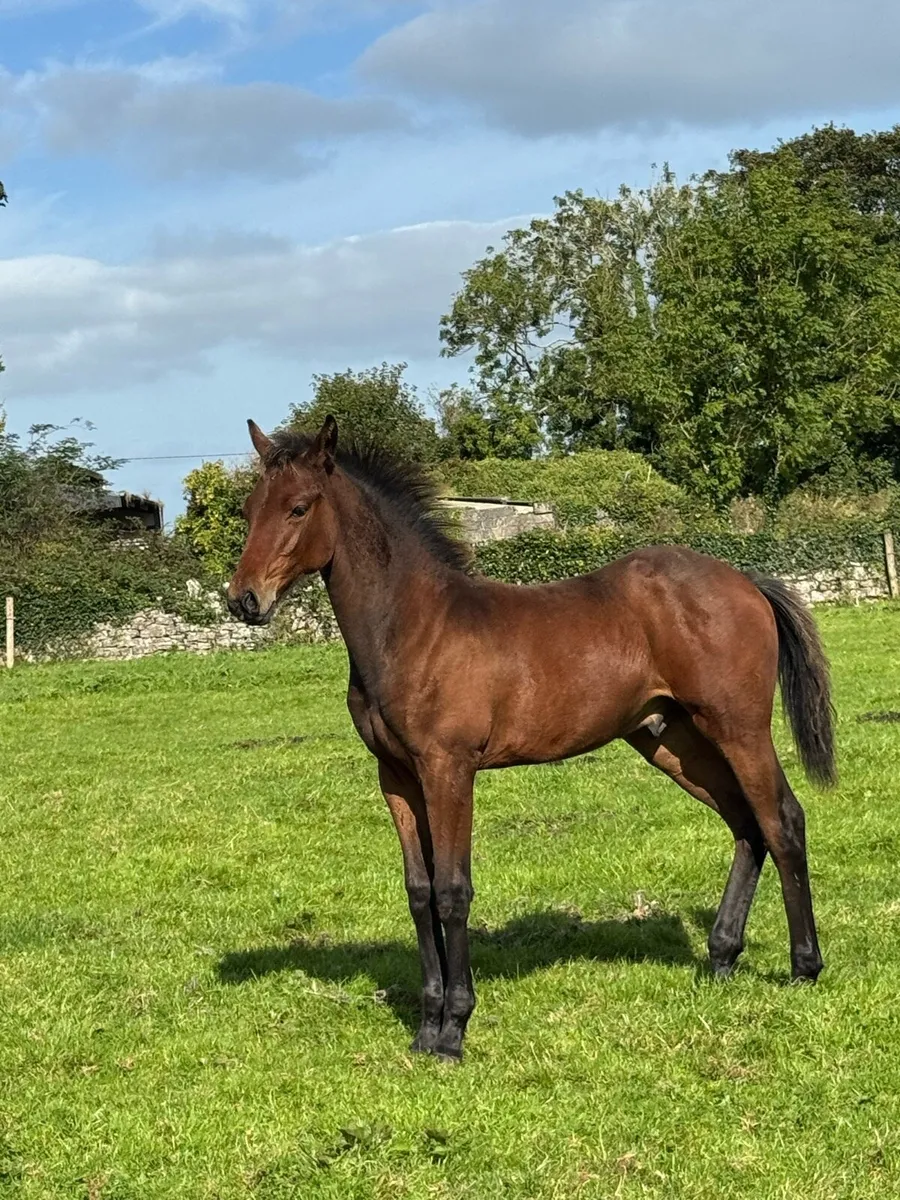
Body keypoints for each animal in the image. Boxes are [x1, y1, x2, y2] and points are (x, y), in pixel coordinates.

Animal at [227, 416, 835, 1062]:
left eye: (298, 507)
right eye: (247, 509)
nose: (243, 600)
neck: (415, 626)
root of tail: (745, 579)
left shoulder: (449, 768)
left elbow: (452, 890)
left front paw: (453, 1030)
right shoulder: (396, 777)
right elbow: (419, 892)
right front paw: (424, 1028)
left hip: (738, 728)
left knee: (781, 820)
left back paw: (804, 966)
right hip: (672, 740)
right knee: (746, 824)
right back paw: (720, 958)